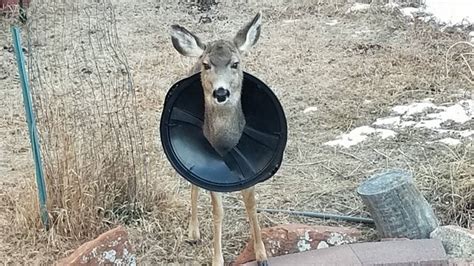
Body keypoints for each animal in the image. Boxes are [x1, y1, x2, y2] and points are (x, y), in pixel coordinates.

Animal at [170, 11, 268, 266]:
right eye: (207, 65)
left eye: (235, 63)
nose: (221, 92)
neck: (226, 143)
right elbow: (218, 211)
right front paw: (217, 259)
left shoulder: (252, 170)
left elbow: (251, 203)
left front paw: (262, 254)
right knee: (193, 184)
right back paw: (193, 232)